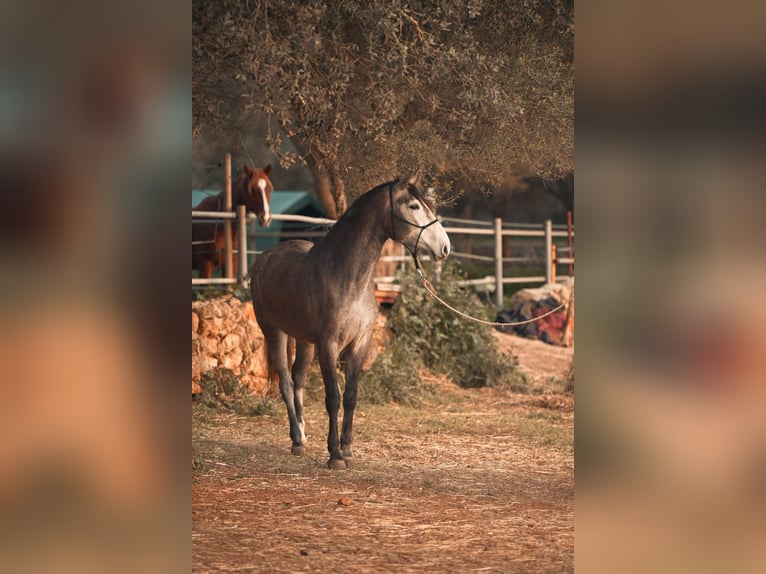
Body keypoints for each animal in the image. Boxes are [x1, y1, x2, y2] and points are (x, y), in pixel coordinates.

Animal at [252, 177, 450, 472]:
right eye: (414, 205)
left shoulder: (359, 344)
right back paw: (297, 439)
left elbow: (350, 396)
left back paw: (303, 434)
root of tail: (265, 257)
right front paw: (334, 455)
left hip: (304, 341)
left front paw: (347, 449)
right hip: (274, 332)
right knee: (286, 382)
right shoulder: (328, 345)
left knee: (298, 380)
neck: (345, 275)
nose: (445, 247)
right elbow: (333, 398)